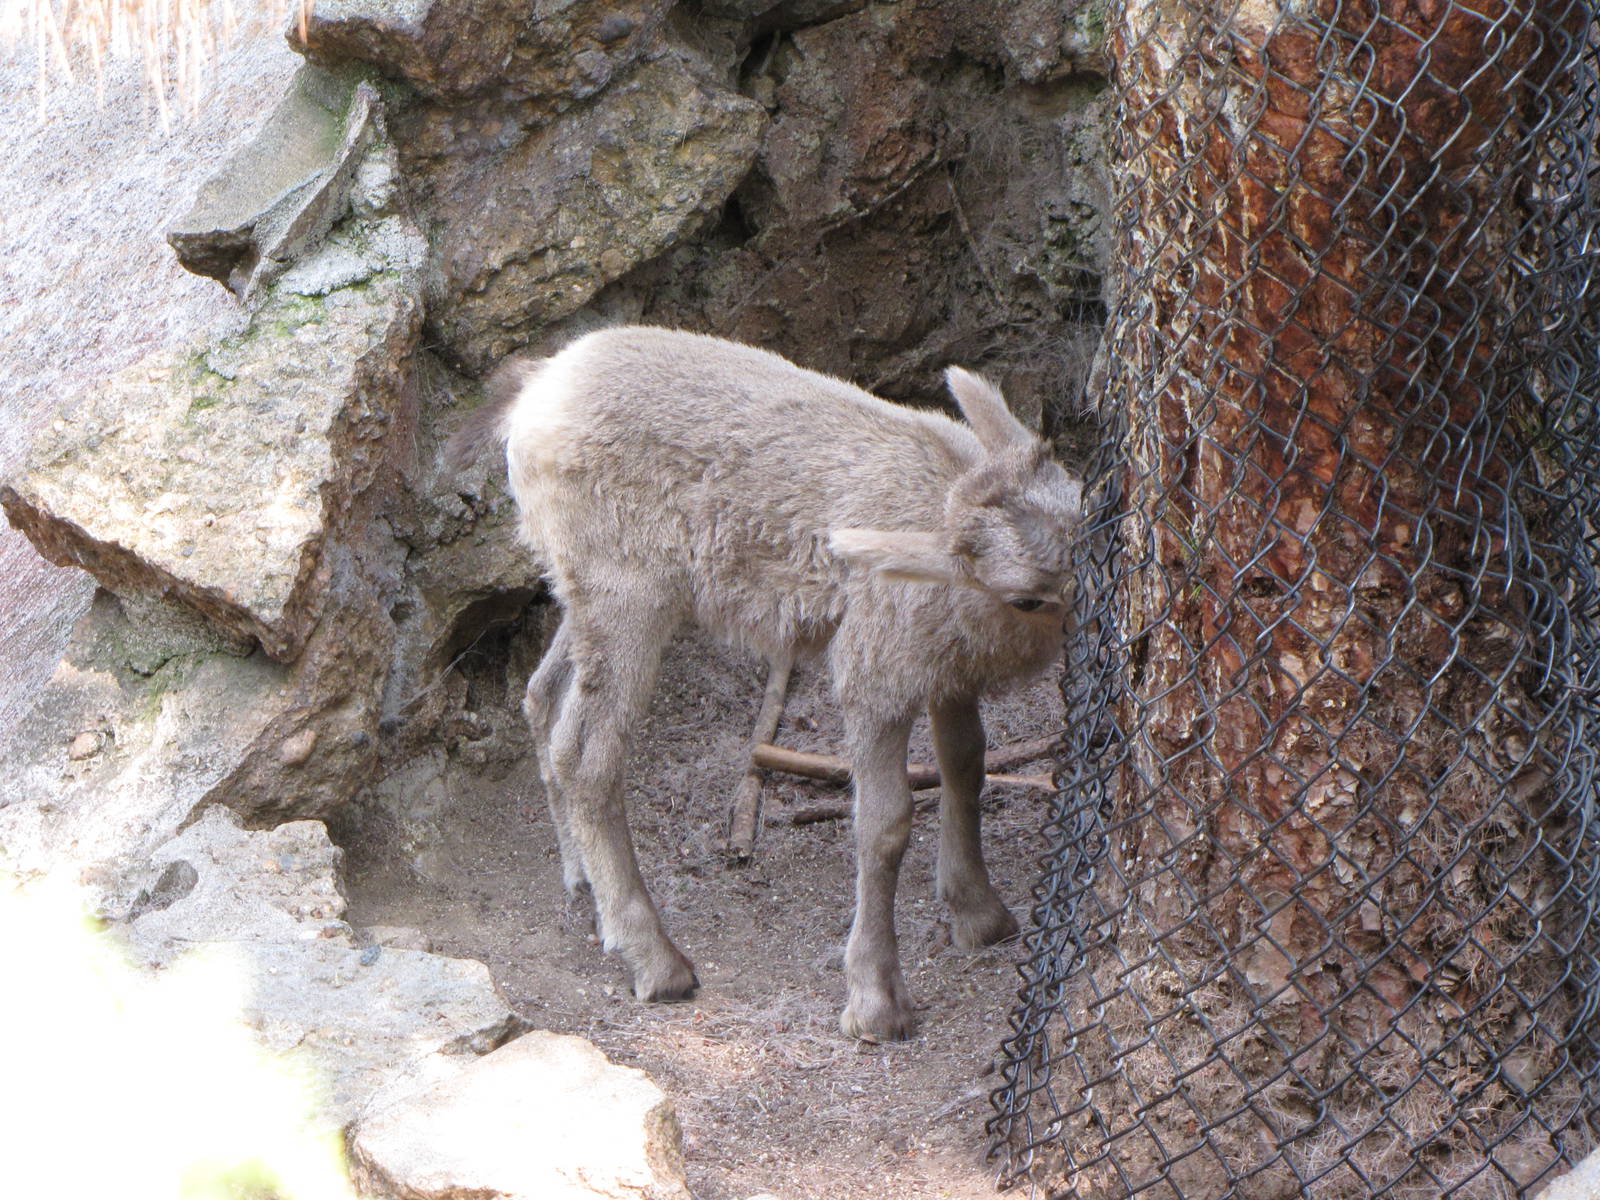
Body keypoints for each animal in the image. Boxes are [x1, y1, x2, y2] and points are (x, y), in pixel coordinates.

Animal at [447, 326, 1081, 1042]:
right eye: (1028, 596)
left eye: (1081, 514)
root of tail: (531, 396)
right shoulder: (876, 666)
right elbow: (885, 823)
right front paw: (876, 1002)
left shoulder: (947, 669)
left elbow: (966, 765)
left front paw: (981, 914)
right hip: (628, 591)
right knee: (588, 759)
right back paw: (654, 957)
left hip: (581, 588)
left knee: (543, 701)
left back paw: (584, 884)